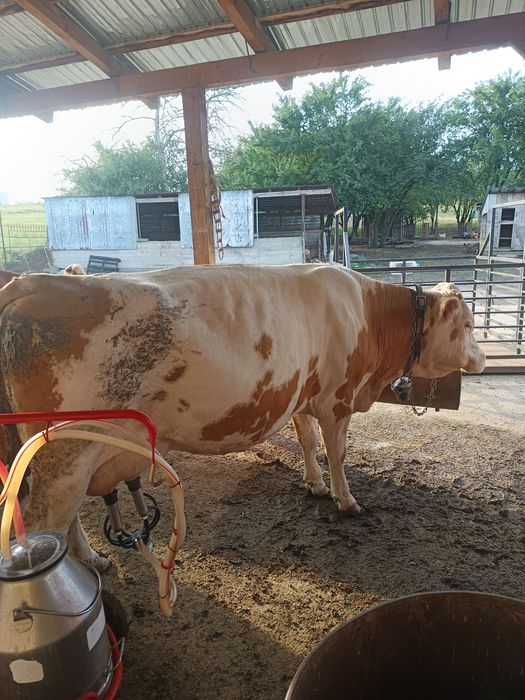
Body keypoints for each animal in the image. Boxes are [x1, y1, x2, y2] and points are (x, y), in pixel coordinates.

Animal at [0, 264, 484, 575]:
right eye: (467, 325)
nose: (481, 360)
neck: (367, 312)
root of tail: (32, 282)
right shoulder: (337, 399)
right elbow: (338, 452)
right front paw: (346, 501)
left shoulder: (301, 396)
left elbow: (308, 442)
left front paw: (315, 484)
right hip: (65, 455)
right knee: (43, 520)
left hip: (57, 453)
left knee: (66, 522)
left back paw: (94, 560)